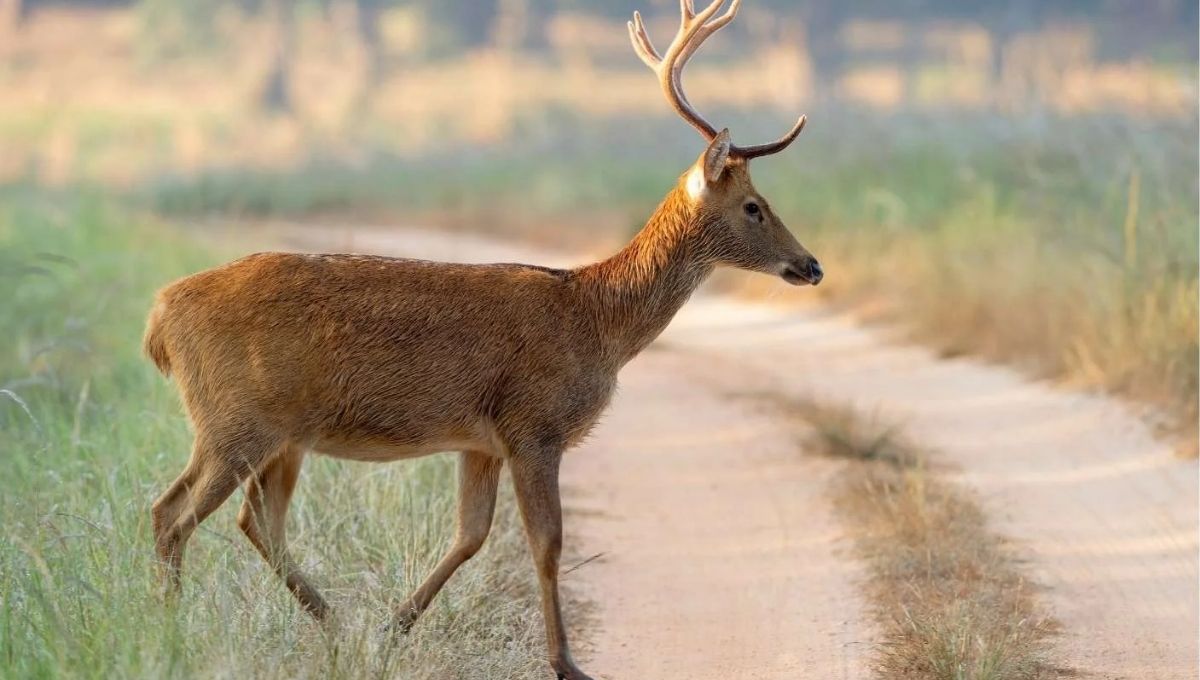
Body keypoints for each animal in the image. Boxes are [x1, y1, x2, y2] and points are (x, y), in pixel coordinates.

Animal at [142, 1, 819, 678]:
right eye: (755, 205)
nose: (811, 266)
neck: (596, 321)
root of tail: (159, 318)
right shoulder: (533, 424)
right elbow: (547, 544)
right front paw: (566, 663)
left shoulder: (481, 440)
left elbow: (470, 536)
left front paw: (393, 628)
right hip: (238, 417)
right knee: (176, 515)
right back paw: (175, 635)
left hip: (276, 432)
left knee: (243, 519)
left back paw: (332, 625)